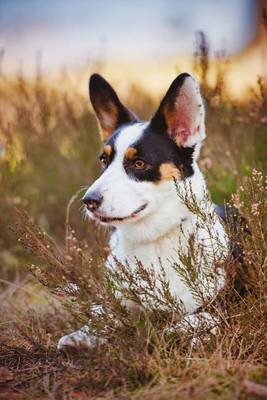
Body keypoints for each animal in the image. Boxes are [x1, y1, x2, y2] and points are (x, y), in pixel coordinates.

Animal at [57, 72, 229, 350]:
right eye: (104, 160)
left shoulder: (228, 303)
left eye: (139, 163)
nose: (89, 201)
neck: (153, 238)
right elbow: (105, 313)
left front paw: (180, 331)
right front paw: (83, 334)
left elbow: (201, 316)